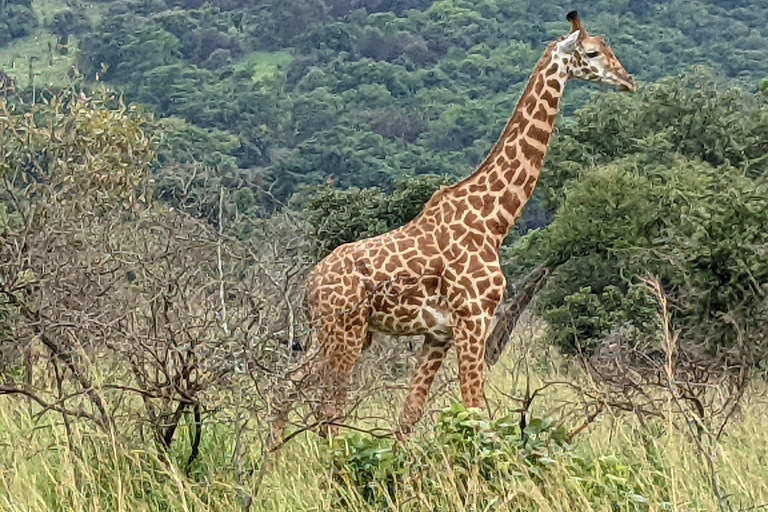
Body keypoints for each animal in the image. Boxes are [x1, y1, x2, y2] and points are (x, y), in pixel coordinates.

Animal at [276, 9, 636, 440]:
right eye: (593, 52)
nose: (628, 81)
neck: (493, 220)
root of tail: (308, 288)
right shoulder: (473, 320)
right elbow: (477, 411)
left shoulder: (439, 334)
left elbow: (410, 416)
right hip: (344, 332)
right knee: (328, 410)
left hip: (343, 334)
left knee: (291, 382)